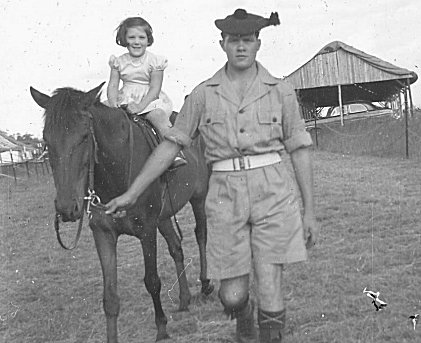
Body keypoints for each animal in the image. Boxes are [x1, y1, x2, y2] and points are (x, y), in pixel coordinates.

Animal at [30, 82, 213, 342]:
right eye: (47, 140)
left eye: (84, 136)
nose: (67, 208)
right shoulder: (103, 234)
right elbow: (110, 297)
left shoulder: (146, 231)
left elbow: (152, 281)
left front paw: (162, 329)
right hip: (164, 216)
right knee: (176, 248)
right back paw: (184, 298)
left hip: (198, 198)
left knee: (201, 235)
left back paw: (206, 284)